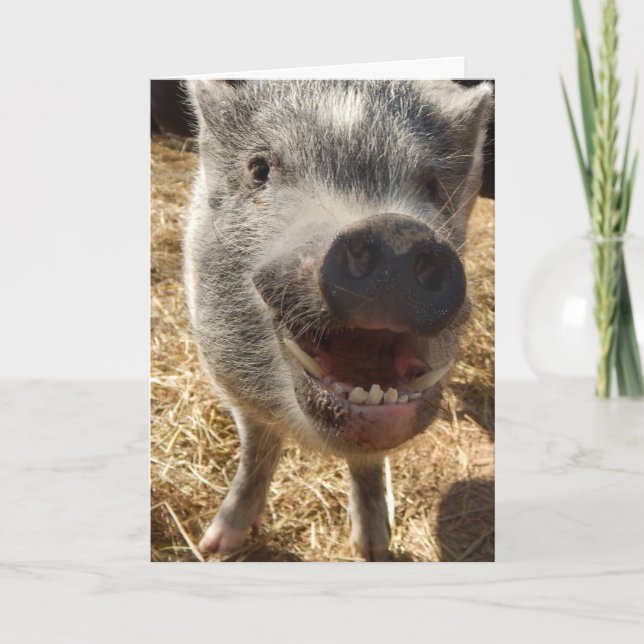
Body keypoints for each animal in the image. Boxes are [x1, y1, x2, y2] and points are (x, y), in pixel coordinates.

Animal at [184, 80, 492, 560]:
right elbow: (256, 451)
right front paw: (215, 547)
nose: (394, 231)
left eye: (431, 185)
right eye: (259, 170)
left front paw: (374, 550)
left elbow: (368, 461)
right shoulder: (231, 386)